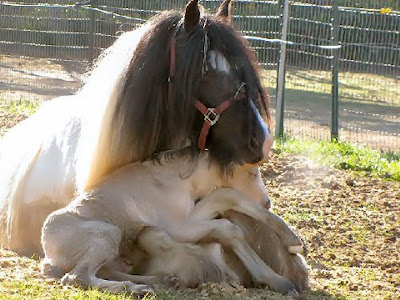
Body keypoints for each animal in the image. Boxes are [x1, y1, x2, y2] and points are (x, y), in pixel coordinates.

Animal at [40, 150, 304, 296]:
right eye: (251, 172)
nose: (267, 202)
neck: (179, 179)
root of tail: (49, 256)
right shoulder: (174, 227)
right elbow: (228, 227)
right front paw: (277, 281)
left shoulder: (189, 216)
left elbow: (226, 196)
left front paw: (293, 240)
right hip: (107, 234)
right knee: (77, 277)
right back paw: (136, 290)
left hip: (113, 252)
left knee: (108, 271)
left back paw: (162, 281)